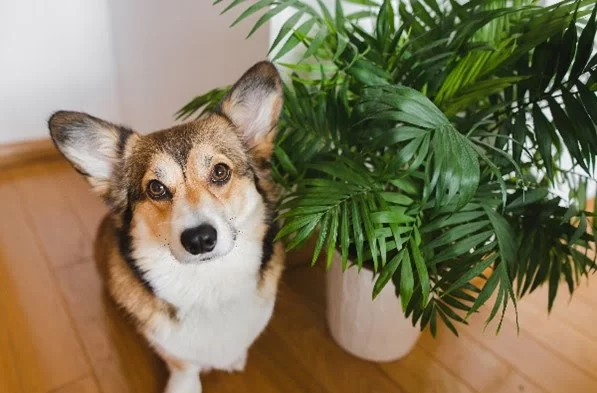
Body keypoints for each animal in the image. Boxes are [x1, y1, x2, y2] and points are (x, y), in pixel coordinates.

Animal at [47, 61, 286, 392]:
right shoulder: (171, 349)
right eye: (156, 188)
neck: (208, 285)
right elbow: (183, 365)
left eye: (220, 171)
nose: (199, 239)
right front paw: (184, 384)